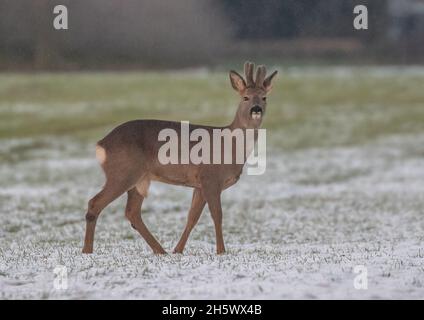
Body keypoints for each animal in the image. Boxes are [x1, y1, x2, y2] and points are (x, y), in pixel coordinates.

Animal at [82, 62, 278, 255]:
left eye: (264, 98)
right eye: (245, 97)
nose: (256, 109)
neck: (230, 145)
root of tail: (101, 144)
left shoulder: (199, 185)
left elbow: (192, 217)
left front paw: (178, 250)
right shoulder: (210, 177)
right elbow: (217, 215)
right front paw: (221, 251)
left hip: (139, 179)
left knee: (132, 212)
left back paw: (161, 250)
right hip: (123, 172)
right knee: (95, 203)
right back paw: (87, 251)